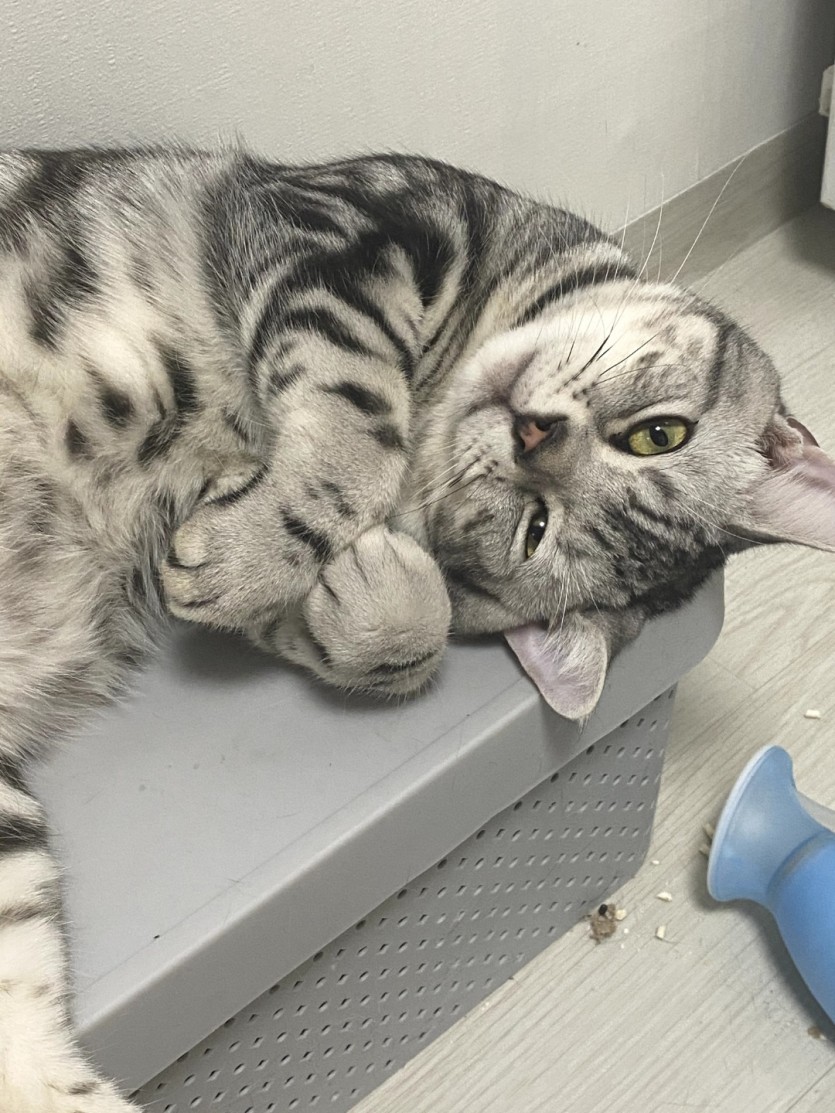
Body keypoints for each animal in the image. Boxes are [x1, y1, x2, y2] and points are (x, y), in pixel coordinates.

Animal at [0, 145, 833, 1111]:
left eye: (534, 530)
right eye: (660, 434)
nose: (533, 433)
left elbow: (411, 628)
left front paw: (358, 583)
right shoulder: (355, 222)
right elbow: (360, 419)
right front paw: (259, 551)